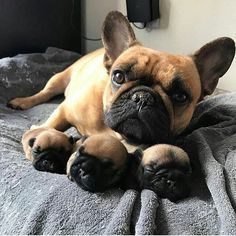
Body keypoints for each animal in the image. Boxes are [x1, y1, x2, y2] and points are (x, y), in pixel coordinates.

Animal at [8, 11, 235, 201]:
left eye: (180, 96)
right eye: (118, 76)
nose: (143, 97)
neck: (115, 133)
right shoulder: (65, 110)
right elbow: (50, 126)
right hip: (59, 78)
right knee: (44, 92)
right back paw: (21, 101)